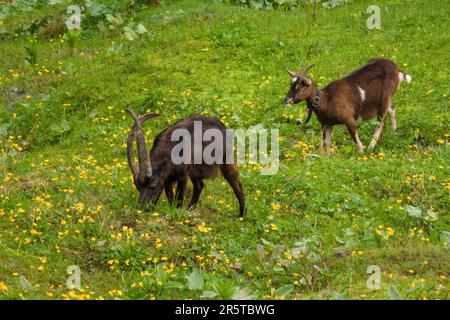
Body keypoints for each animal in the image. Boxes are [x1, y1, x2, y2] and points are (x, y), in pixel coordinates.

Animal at [284, 59, 412, 156]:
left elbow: (355, 138)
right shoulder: (326, 124)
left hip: (385, 97)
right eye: (291, 84)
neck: (327, 99)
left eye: (301, 85)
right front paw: (327, 158)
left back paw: (370, 147)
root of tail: (396, 68)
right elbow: (327, 143)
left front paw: (361, 153)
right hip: (384, 101)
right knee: (392, 109)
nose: (286, 99)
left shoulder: (349, 119)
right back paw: (394, 133)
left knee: (380, 122)